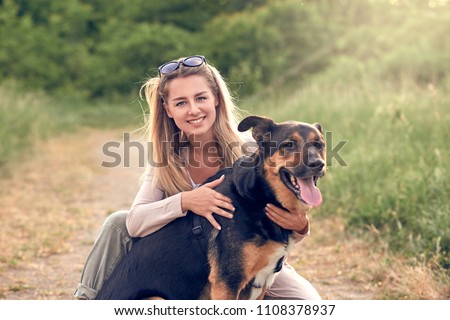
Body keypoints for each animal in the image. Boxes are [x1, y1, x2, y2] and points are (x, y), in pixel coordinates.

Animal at [96, 115, 326, 300]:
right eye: (289, 144)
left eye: (320, 145)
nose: (318, 164)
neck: (258, 196)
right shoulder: (228, 283)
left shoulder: (260, 285)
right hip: (155, 298)